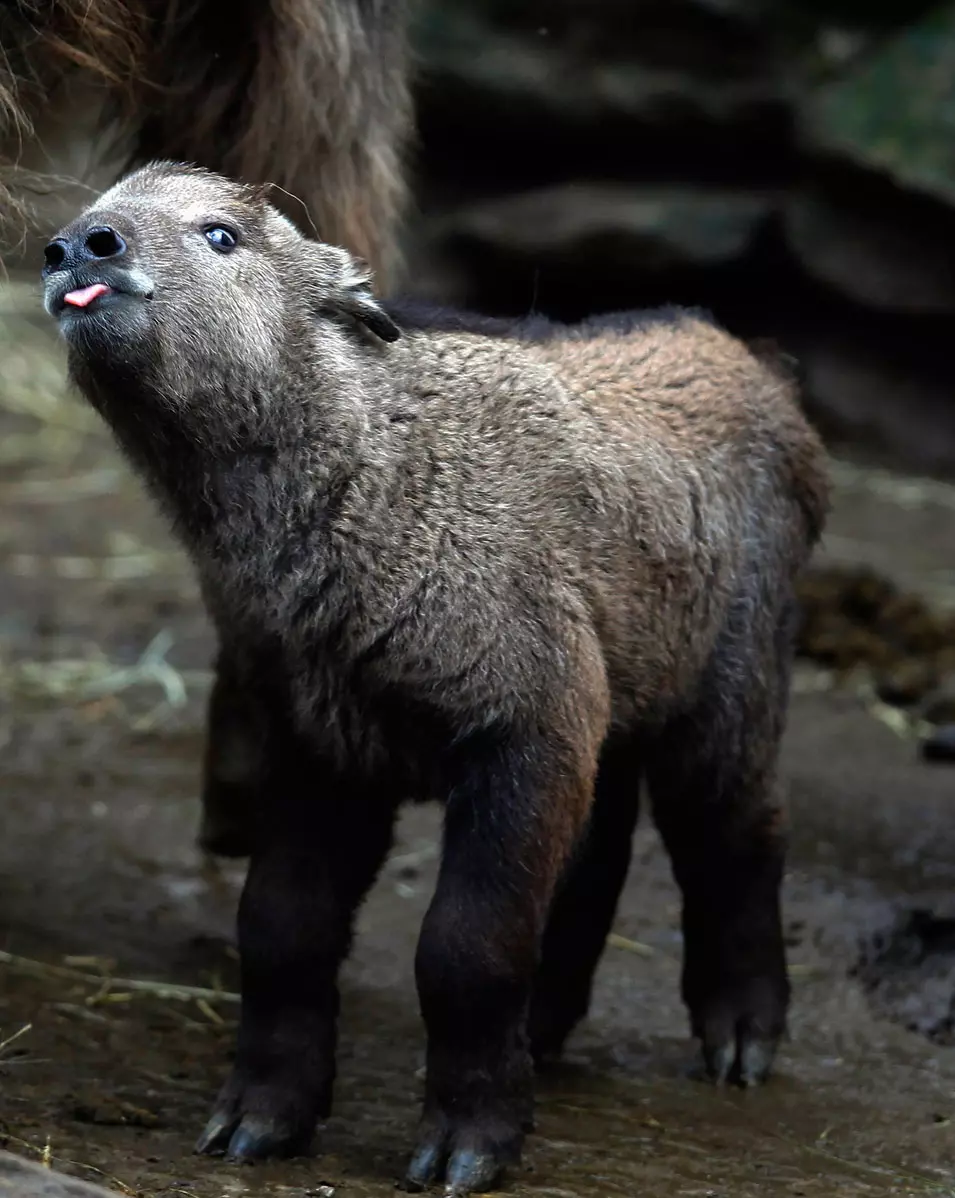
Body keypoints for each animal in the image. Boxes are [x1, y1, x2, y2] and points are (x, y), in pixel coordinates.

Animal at [39, 161, 829, 1198]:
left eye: (222, 236)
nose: (78, 247)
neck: (378, 473)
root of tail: (737, 350)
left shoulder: (520, 728)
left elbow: (466, 948)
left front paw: (467, 1146)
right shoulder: (325, 742)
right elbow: (279, 929)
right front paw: (259, 1119)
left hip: (730, 672)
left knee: (738, 831)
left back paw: (741, 1035)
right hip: (611, 681)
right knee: (601, 848)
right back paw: (546, 1031)